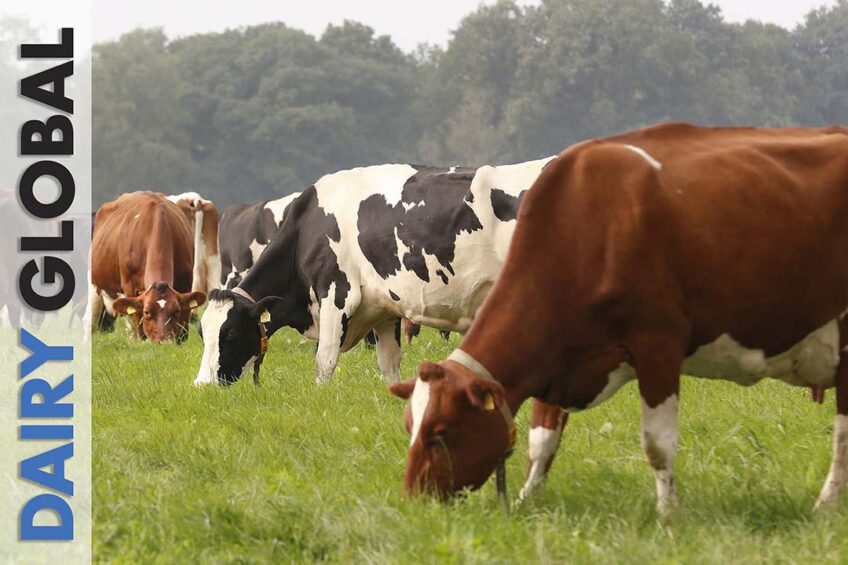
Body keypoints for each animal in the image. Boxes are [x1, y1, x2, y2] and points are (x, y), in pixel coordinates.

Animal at [86, 193, 207, 344]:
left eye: (176, 311)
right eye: (147, 312)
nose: (164, 342)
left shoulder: (185, 282)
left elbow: (183, 328)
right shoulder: (130, 288)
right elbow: (139, 327)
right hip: (95, 286)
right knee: (90, 321)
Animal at [194, 159, 556, 388]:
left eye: (229, 334)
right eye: (202, 333)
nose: (202, 385)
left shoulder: (335, 293)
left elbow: (325, 361)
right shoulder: (384, 309)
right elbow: (390, 365)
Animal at [390, 121, 848, 512]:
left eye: (440, 432)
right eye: (409, 425)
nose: (413, 502)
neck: (585, 227)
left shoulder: (658, 346)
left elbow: (658, 444)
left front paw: (668, 515)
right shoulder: (557, 359)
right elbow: (542, 442)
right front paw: (525, 502)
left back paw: (824, 506)